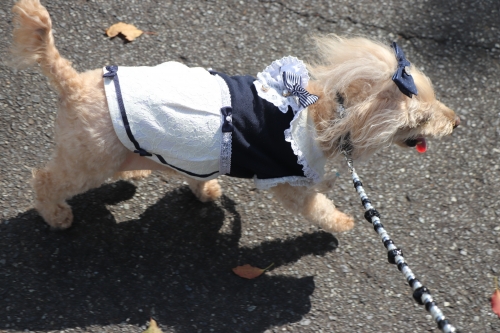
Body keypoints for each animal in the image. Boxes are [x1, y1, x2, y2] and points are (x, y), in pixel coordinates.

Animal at [9, 0, 458, 232]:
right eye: (421, 119)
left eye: (437, 101)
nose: (456, 123)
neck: (328, 113)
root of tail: (72, 82)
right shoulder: (287, 178)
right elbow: (315, 206)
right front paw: (341, 223)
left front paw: (205, 191)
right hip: (87, 158)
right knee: (46, 180)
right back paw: (56, 215)